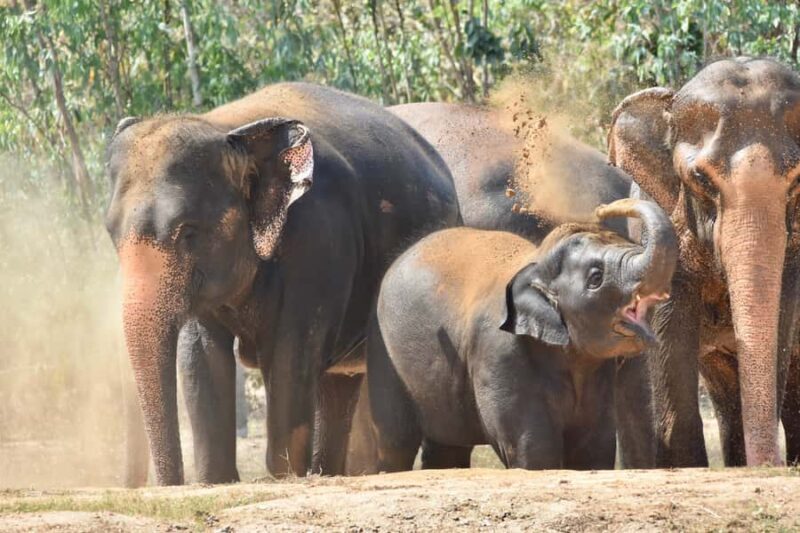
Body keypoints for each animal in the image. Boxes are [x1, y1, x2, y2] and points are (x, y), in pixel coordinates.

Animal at [105, 82, 459, 485]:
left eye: (189, 233)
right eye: (110, 231)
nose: (167, 484)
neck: (230, 130)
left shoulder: (320, 237)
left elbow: (291, 354)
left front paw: (284, 475)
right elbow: (202, 357)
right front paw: (216, 479)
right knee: (338, 384)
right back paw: (326, 473)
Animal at [366, 199, 677, 471]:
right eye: (596, 277)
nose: (602, 209)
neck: (537, 261)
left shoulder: (599, 371)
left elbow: (592, 447)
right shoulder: (498, 352)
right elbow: (533, 448)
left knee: (447, 445)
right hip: (383, 349)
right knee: (395, 441)